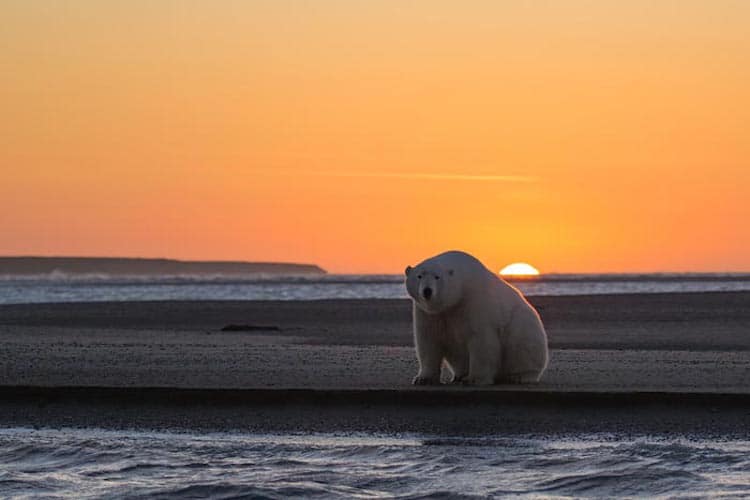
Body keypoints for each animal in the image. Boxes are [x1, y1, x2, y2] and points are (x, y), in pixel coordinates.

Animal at [408, 250, 548, 386]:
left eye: (437, 277)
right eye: (419, 276)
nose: (427, 291)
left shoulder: (474, 302)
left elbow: (481, 340)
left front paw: (474, 379)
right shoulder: (427, 312)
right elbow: (428, 341)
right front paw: (423, 379)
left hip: (523, 324)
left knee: (522, 345)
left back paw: (518, 376)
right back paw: (459, 376)